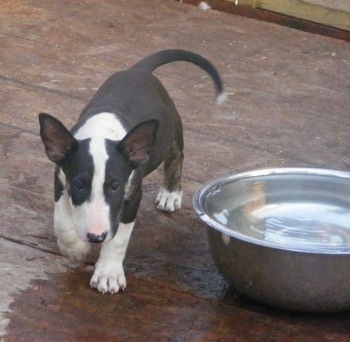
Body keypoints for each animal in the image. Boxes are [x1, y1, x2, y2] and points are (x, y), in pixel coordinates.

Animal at [38, 48, 224, 294]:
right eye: (79, 185)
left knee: (176, 157)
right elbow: (61, 220)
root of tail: (139, 70)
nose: (96, 236)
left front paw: (108, 274)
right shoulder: (60, 178)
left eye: (115, 186)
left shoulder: (132, 194)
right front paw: (75, 249)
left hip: (172, 130)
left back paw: (170, 194)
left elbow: (119, 239)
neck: (101, 132)